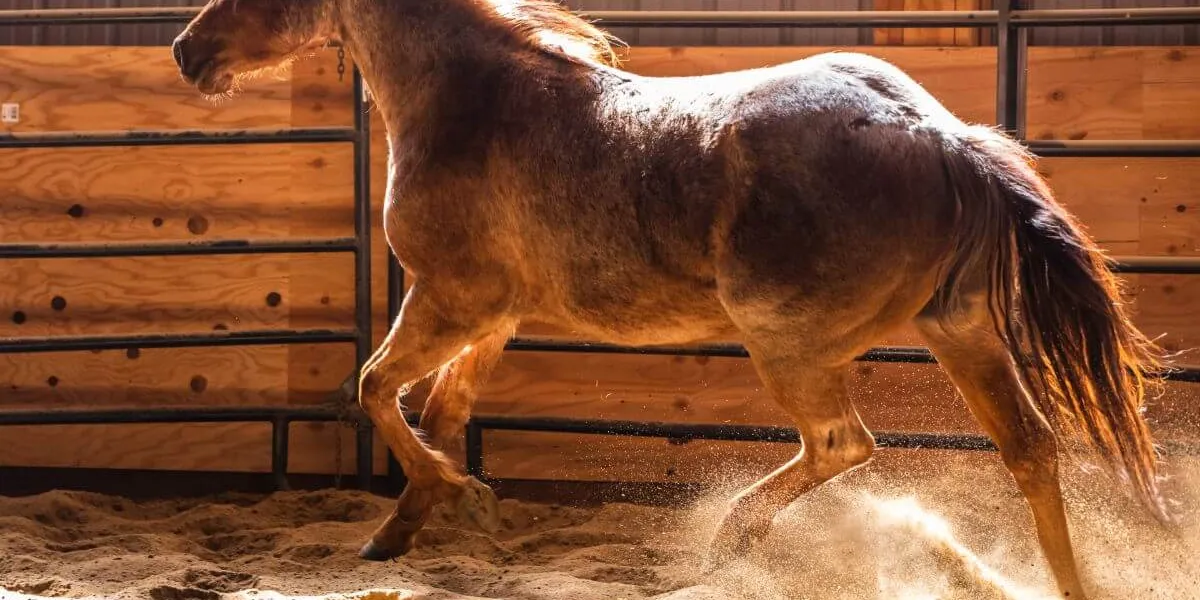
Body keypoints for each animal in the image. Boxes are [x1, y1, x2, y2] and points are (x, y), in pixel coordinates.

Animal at [171, 1, 1173, 597]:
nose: (187, 52)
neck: (470, 103)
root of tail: (940, 135)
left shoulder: (448, 300)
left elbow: (378, 392)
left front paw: (465, 500)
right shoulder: (492, 317)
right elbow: (441, 411)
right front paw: (402, 531)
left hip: (790, 344)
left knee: (843, 442)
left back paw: (725, 541)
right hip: (961, 332)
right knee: (1031, 450)